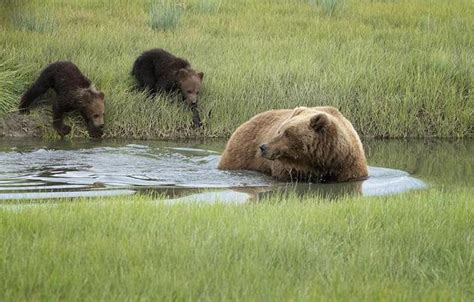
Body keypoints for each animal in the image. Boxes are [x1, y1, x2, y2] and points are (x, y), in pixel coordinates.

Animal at [219, 106, 370, 182]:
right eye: (279, 130)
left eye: (286, 133)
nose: (263, 147)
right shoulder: (289, 169)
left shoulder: (348, 166)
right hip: (240, 155)